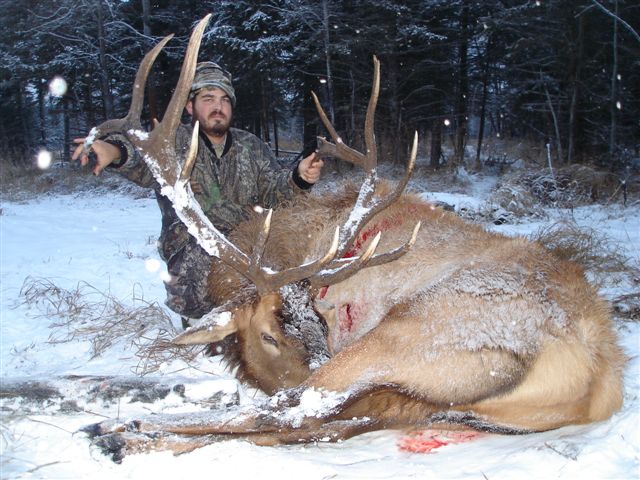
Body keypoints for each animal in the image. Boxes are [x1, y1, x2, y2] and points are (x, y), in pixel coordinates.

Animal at [82, 15, 625, 461]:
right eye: (269, 336)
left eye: (319, 325)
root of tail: (595, 376)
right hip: (421, 398)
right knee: (314, 421)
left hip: (411, 332)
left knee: (289, 413)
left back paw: (121, 433)